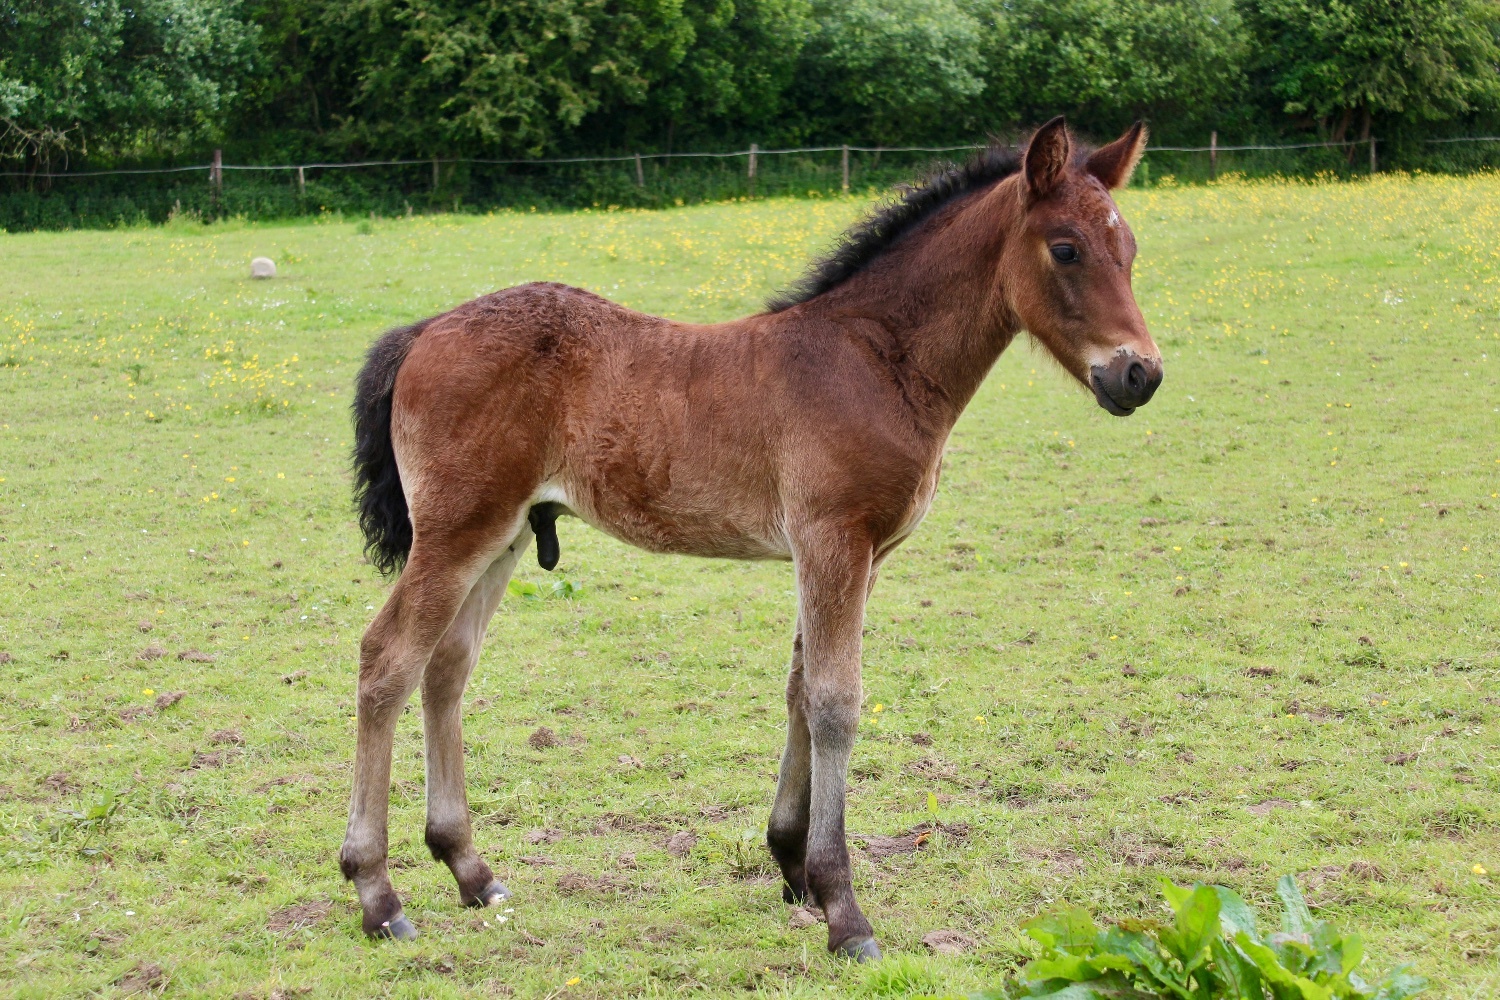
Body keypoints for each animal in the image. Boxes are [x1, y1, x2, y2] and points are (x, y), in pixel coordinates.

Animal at [339, 116, 1163, 959]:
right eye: (1066, 249)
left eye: (1128, 250)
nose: (1140, 374)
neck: (874, 360)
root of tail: (425, 330)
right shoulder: (834, 539)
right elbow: (835, 700)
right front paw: (844, 909)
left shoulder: (854, 555)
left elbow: (801, 688)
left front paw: (793, 866)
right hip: (456, 531)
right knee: (387, 659)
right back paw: (377, 892)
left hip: (501, 538)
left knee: (446, 668)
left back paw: (470, 869)